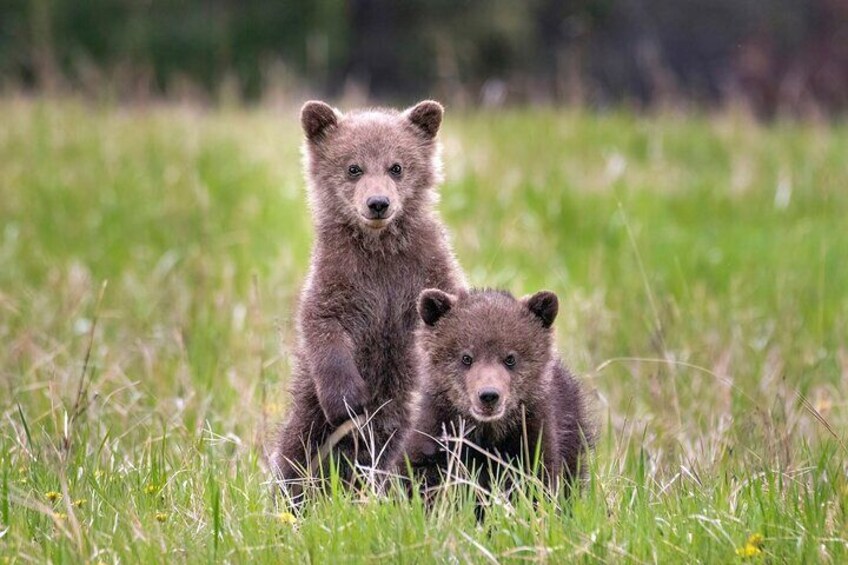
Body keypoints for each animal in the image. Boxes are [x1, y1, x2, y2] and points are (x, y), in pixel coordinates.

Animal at [273, 100, 465, 497]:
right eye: (353, 167)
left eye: (397, 166)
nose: (378, 203)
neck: (380, 248)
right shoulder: (340, 274)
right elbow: (322, 322)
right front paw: (349, 399)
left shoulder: (425, 267)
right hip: (309, 408)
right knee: (297, 448)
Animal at [405, 288, 594, 501]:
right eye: (466, 357)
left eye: (510, 358)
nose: (489, 395)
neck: (487, 433)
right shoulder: (436, 433)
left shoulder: (532, 439)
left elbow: (538, 484)